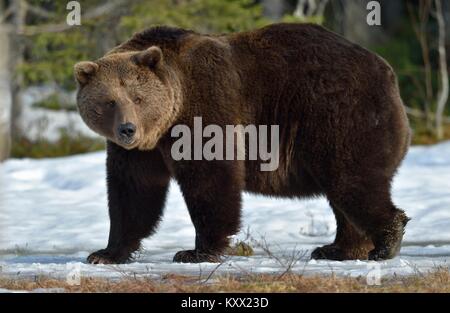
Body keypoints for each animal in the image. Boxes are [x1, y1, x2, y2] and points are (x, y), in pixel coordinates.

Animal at [74, 23, 412, 264]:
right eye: (109, 102)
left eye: (138, 98)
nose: (128, 130)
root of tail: (386, 69)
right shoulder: (139, 152)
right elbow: (133, 191)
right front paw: (105, 253)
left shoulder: (206, 108)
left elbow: (210, 178)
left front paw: (197, 251)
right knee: (343, 192)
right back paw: (338, 248)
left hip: (338, 114)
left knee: (351, 180)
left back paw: (385, 242)